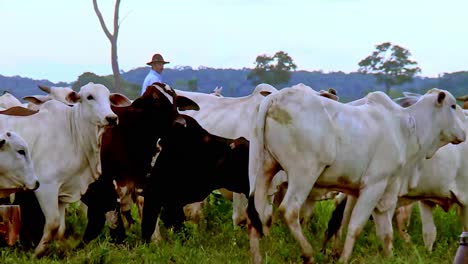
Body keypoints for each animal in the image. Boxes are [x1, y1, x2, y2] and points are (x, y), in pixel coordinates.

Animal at [0, 83, 130, 258]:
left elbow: (60, 229)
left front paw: (56, 251)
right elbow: (53, 223)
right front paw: (37, 253)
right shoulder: (45, 186)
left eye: (109, 98)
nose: (112, 118)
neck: (73, 132)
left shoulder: (62, 193)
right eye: (89, 97)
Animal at [247, 87, 466, 264]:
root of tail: (275, 98)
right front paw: (343, 258)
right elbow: (355, 226)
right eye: (453, 106)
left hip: (265, 169)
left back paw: (258, 256)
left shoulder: (378, 190)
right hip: (304, 173)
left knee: (257, 214)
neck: (406, 127)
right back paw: (308, 254)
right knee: (289, 211)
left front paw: (388, 256)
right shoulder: (374, 185)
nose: (464, 133)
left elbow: (383, 231)